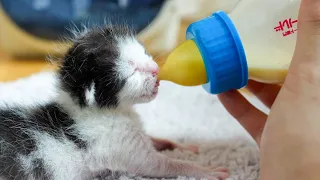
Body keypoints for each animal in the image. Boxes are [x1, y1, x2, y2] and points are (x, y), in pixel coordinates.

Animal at [0, 24, 230, 180]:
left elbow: (152, 139)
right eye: (132, 73)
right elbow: (160, 165)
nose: (156, 70)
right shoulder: (120, 147)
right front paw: (201, 169)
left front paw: (179, 145)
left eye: (144, 53)